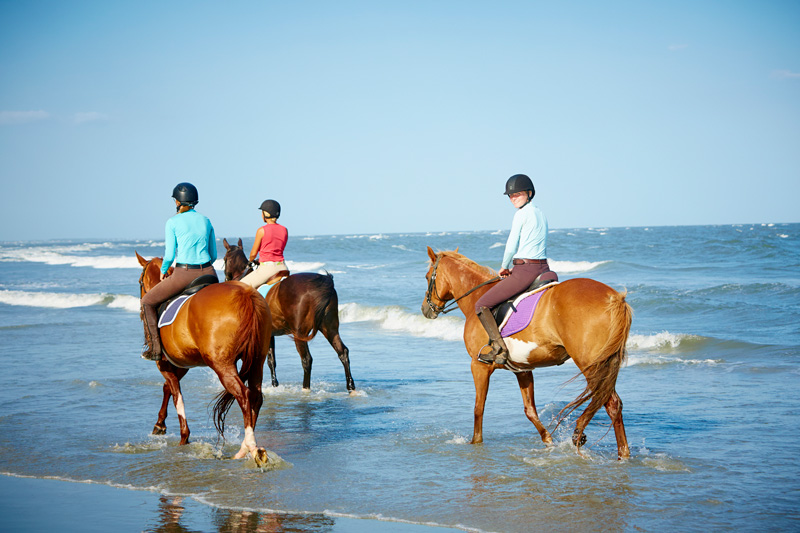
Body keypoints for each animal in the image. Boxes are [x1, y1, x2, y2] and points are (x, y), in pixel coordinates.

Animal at [136, 252, 273, 466]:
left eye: (140, 282)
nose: (141, 309)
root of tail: (246, 295)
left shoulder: (164, 364)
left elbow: (177, 396)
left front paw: (183, 438)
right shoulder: (182, 364)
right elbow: (169, 389)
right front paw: (160, 424)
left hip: (222, 365)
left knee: (244, 395)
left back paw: (250, 447)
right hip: (257, 360)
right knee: (256, 397)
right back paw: (243, 448)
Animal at [222, 238, 356, 393]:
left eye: (224, 259)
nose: (225, 279)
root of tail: (323, 283)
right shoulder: (269, 334)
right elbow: (271, 360)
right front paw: (274, 385)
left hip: (300, 333)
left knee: (307, 359)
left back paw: (305, 389)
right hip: (330, 328)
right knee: (342, 352)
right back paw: (351, 387)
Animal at [421, 247, 632, 459]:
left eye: (427, 277)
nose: (425, 309)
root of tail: (614, 298)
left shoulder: (478, 365)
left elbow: (478, 408)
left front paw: (475, 442)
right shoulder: (522, 369)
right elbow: (530, 410)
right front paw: (548, 440)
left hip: (591, 364)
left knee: (610, 402)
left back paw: (584, 436)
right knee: (613, 403)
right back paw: (622, 454)